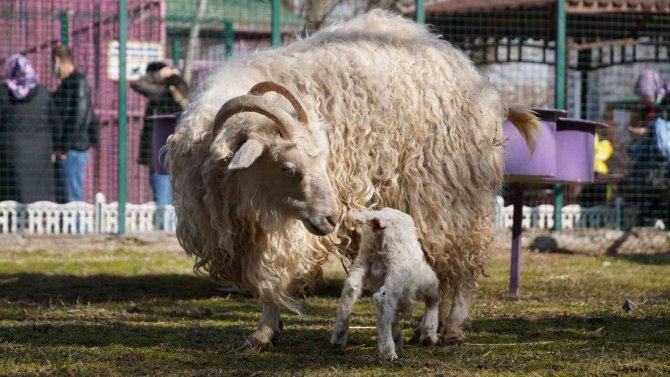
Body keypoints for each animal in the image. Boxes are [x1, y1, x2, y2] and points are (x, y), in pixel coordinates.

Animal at [330, 207, 440, 360]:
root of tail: (379, 218)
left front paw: (398, 335)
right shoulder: (426, 281)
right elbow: (433, 299)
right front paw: (429, 336)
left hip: (363, 260)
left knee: (350, 290)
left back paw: (338, 337)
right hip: (397, 266)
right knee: (383, 299)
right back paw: (388, 351)